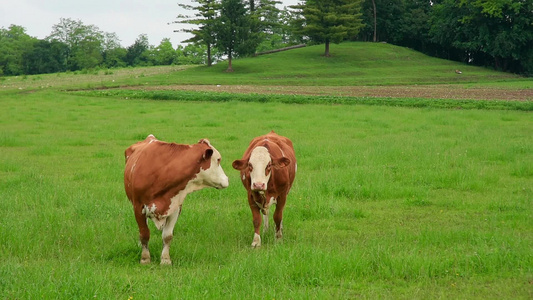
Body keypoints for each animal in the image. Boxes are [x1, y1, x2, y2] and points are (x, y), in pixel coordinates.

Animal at [124, 135, 229, 264]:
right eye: (218, 159)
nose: (227, 179)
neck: (162, 173)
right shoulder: (138, 207)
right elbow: (144, 233)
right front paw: (145, 258)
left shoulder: (175, 206)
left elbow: (167, 236)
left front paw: (165, 260)